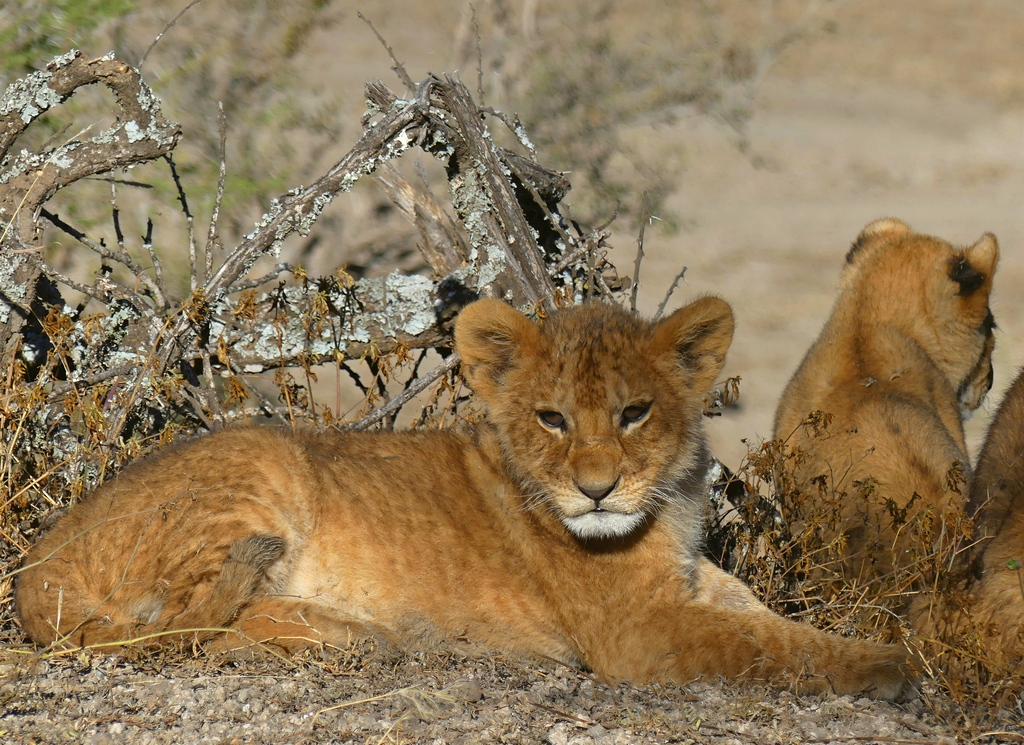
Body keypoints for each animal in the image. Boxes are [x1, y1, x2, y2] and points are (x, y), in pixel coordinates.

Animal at [16, 297, 912, 699]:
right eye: (552, 418)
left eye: (634, 412)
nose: (596, 488)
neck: (667, 506)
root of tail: (35, 563)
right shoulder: (638, 632)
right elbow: (765, 645)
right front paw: (888, 665)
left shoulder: (686, 581)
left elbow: (758, 612)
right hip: (265, 461)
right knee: (193, 624)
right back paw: (369, 634)